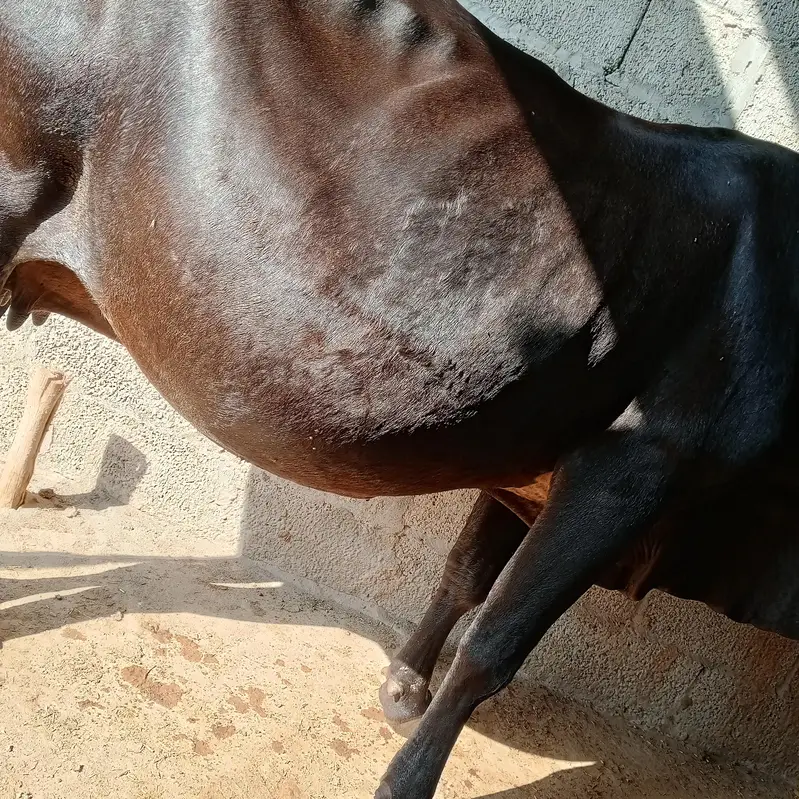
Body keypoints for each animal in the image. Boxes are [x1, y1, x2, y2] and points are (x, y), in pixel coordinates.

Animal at [1, 1, 798, 797]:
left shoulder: (533, 466)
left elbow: (464, 575)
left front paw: (404, 689)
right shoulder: (634, 467)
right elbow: (494, 645)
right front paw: (406, 778)